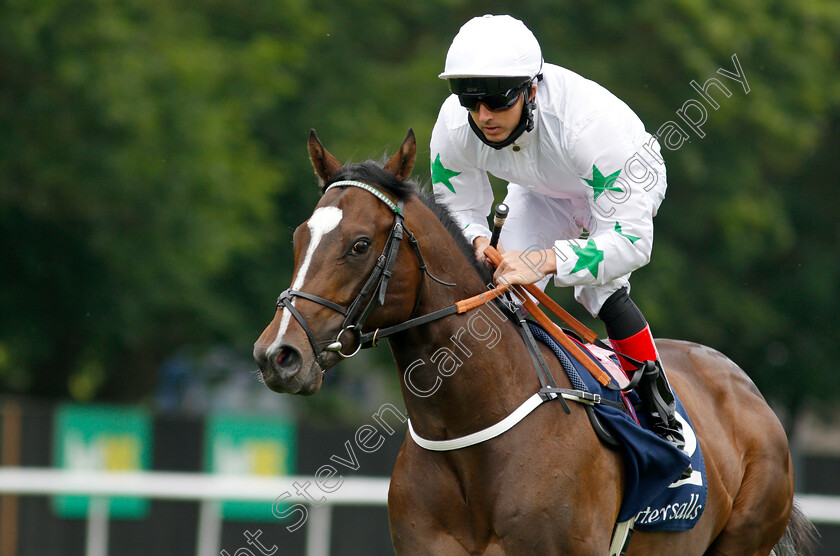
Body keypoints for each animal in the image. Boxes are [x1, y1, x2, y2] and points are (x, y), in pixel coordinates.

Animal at [254, 131, 812, 556]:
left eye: (360, 244)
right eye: (299, 238)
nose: (278, 355)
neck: (469, 432)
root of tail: (744, 385)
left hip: (745, 537)